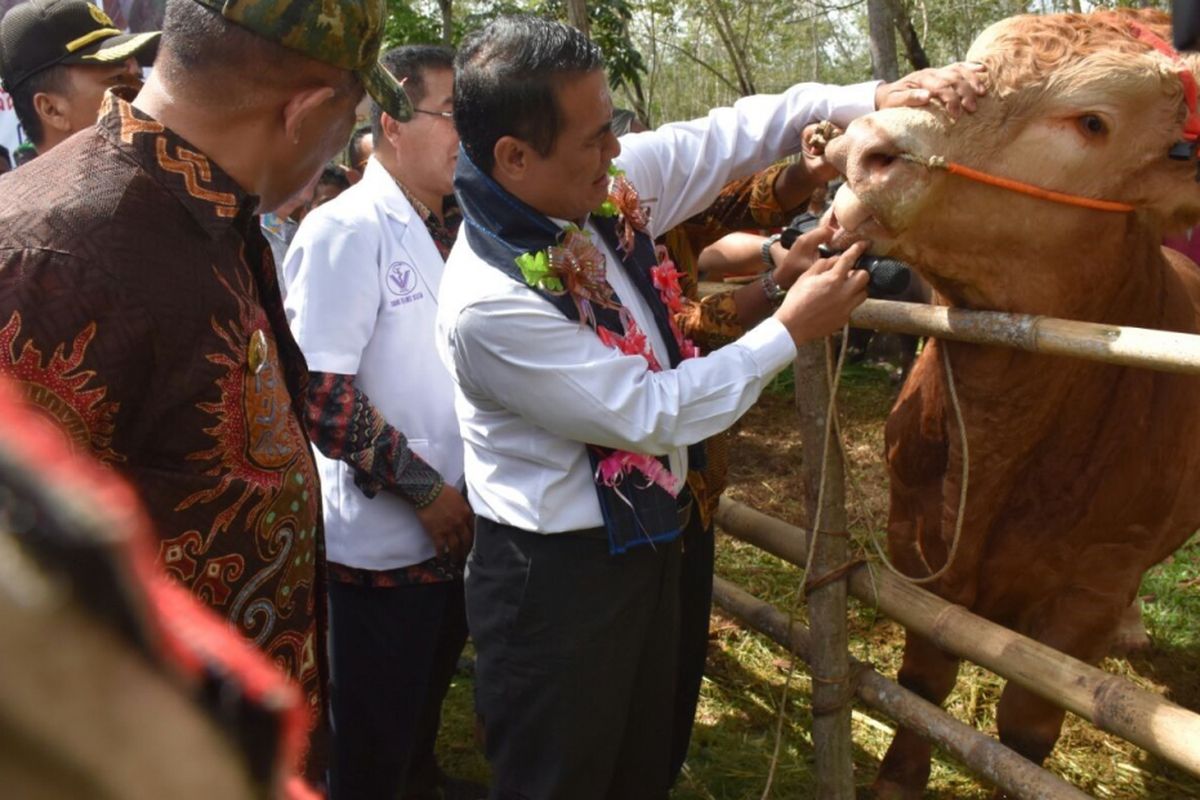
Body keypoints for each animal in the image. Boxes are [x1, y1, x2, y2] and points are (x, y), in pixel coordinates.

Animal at [830, 7, 1200, 800]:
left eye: (1092, 122)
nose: (869, 149)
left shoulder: (1093, 585)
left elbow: (1028, 727)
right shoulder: (914, 537)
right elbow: (926, 676)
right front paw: (899, 777)